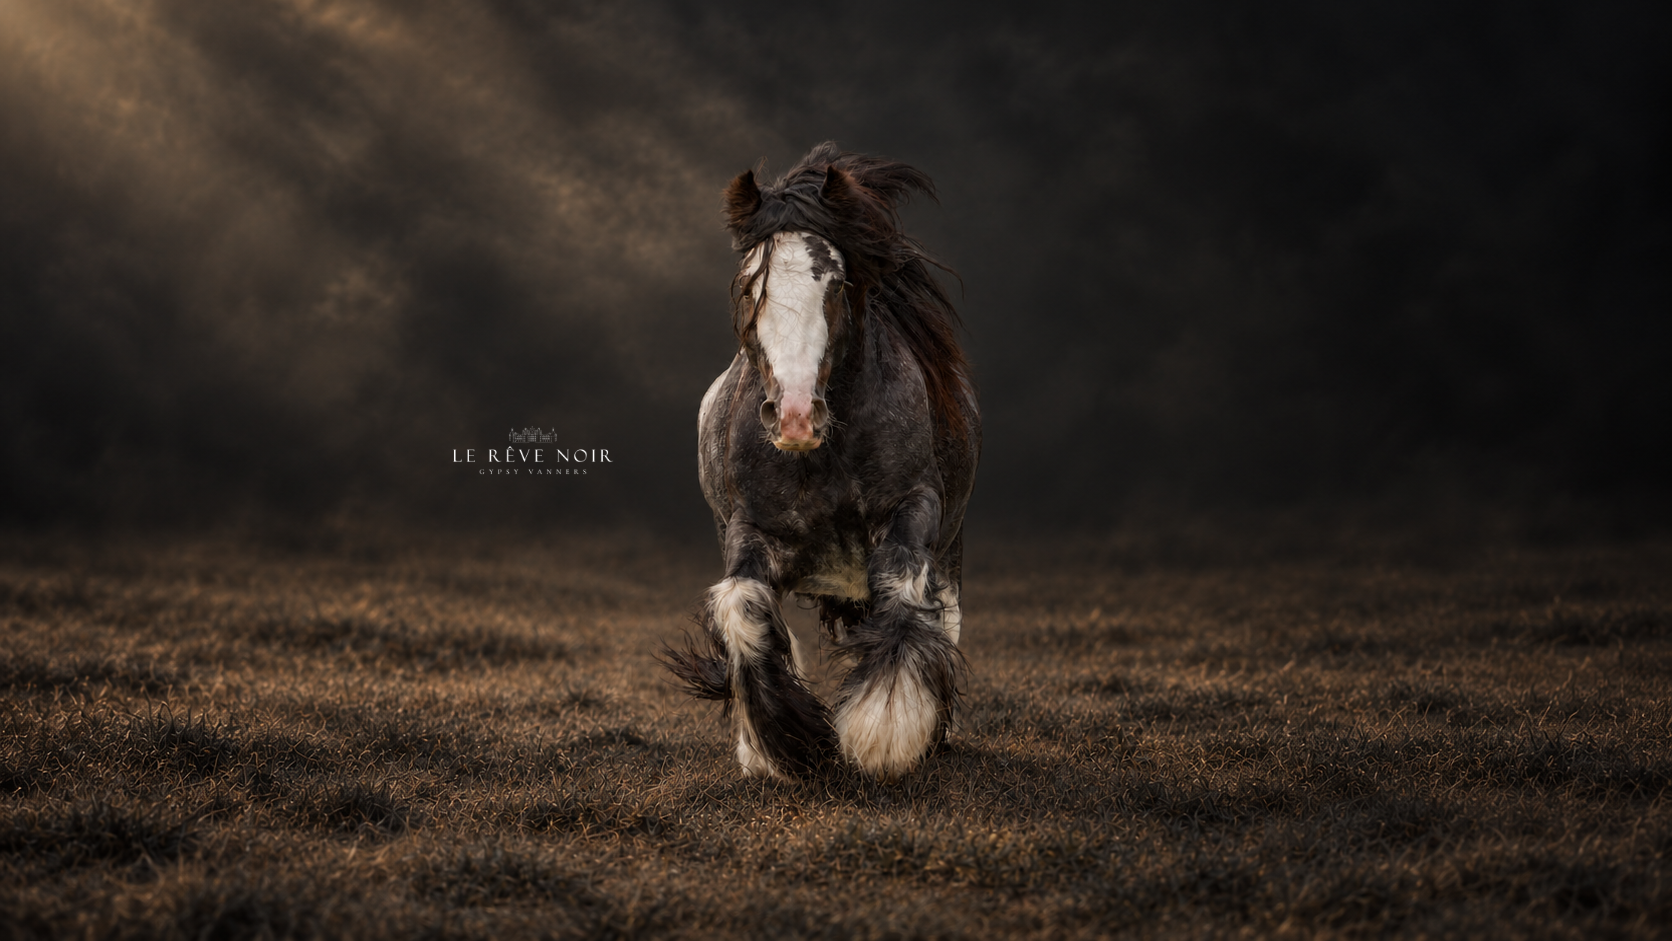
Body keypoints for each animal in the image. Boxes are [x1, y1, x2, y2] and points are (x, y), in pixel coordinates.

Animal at [664, 142, 980, 780]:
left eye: (835, 284)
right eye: (747, 287)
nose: (794, 417)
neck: (822, 459)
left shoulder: (914, 507)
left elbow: (903, 586)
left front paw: (886, 730)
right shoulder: (748, 528)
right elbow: (743, 609)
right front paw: (782, 746)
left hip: (951, 543)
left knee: (946, 614)